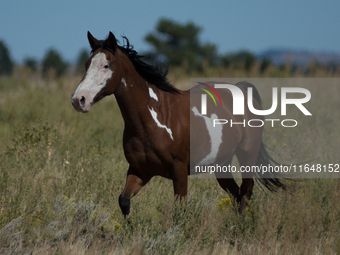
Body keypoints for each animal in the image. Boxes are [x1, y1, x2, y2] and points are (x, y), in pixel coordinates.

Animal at [71, 30, 284, 216]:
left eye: (106, 65)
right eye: (87, 64)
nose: (78, 100)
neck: (154, 120)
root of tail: (242, 90)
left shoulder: (179, 170)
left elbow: (179, 210)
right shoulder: (140, 170)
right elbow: (124, 201)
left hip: (247, 155)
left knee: (245, 192)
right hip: (221, 163)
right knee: (236, 194)